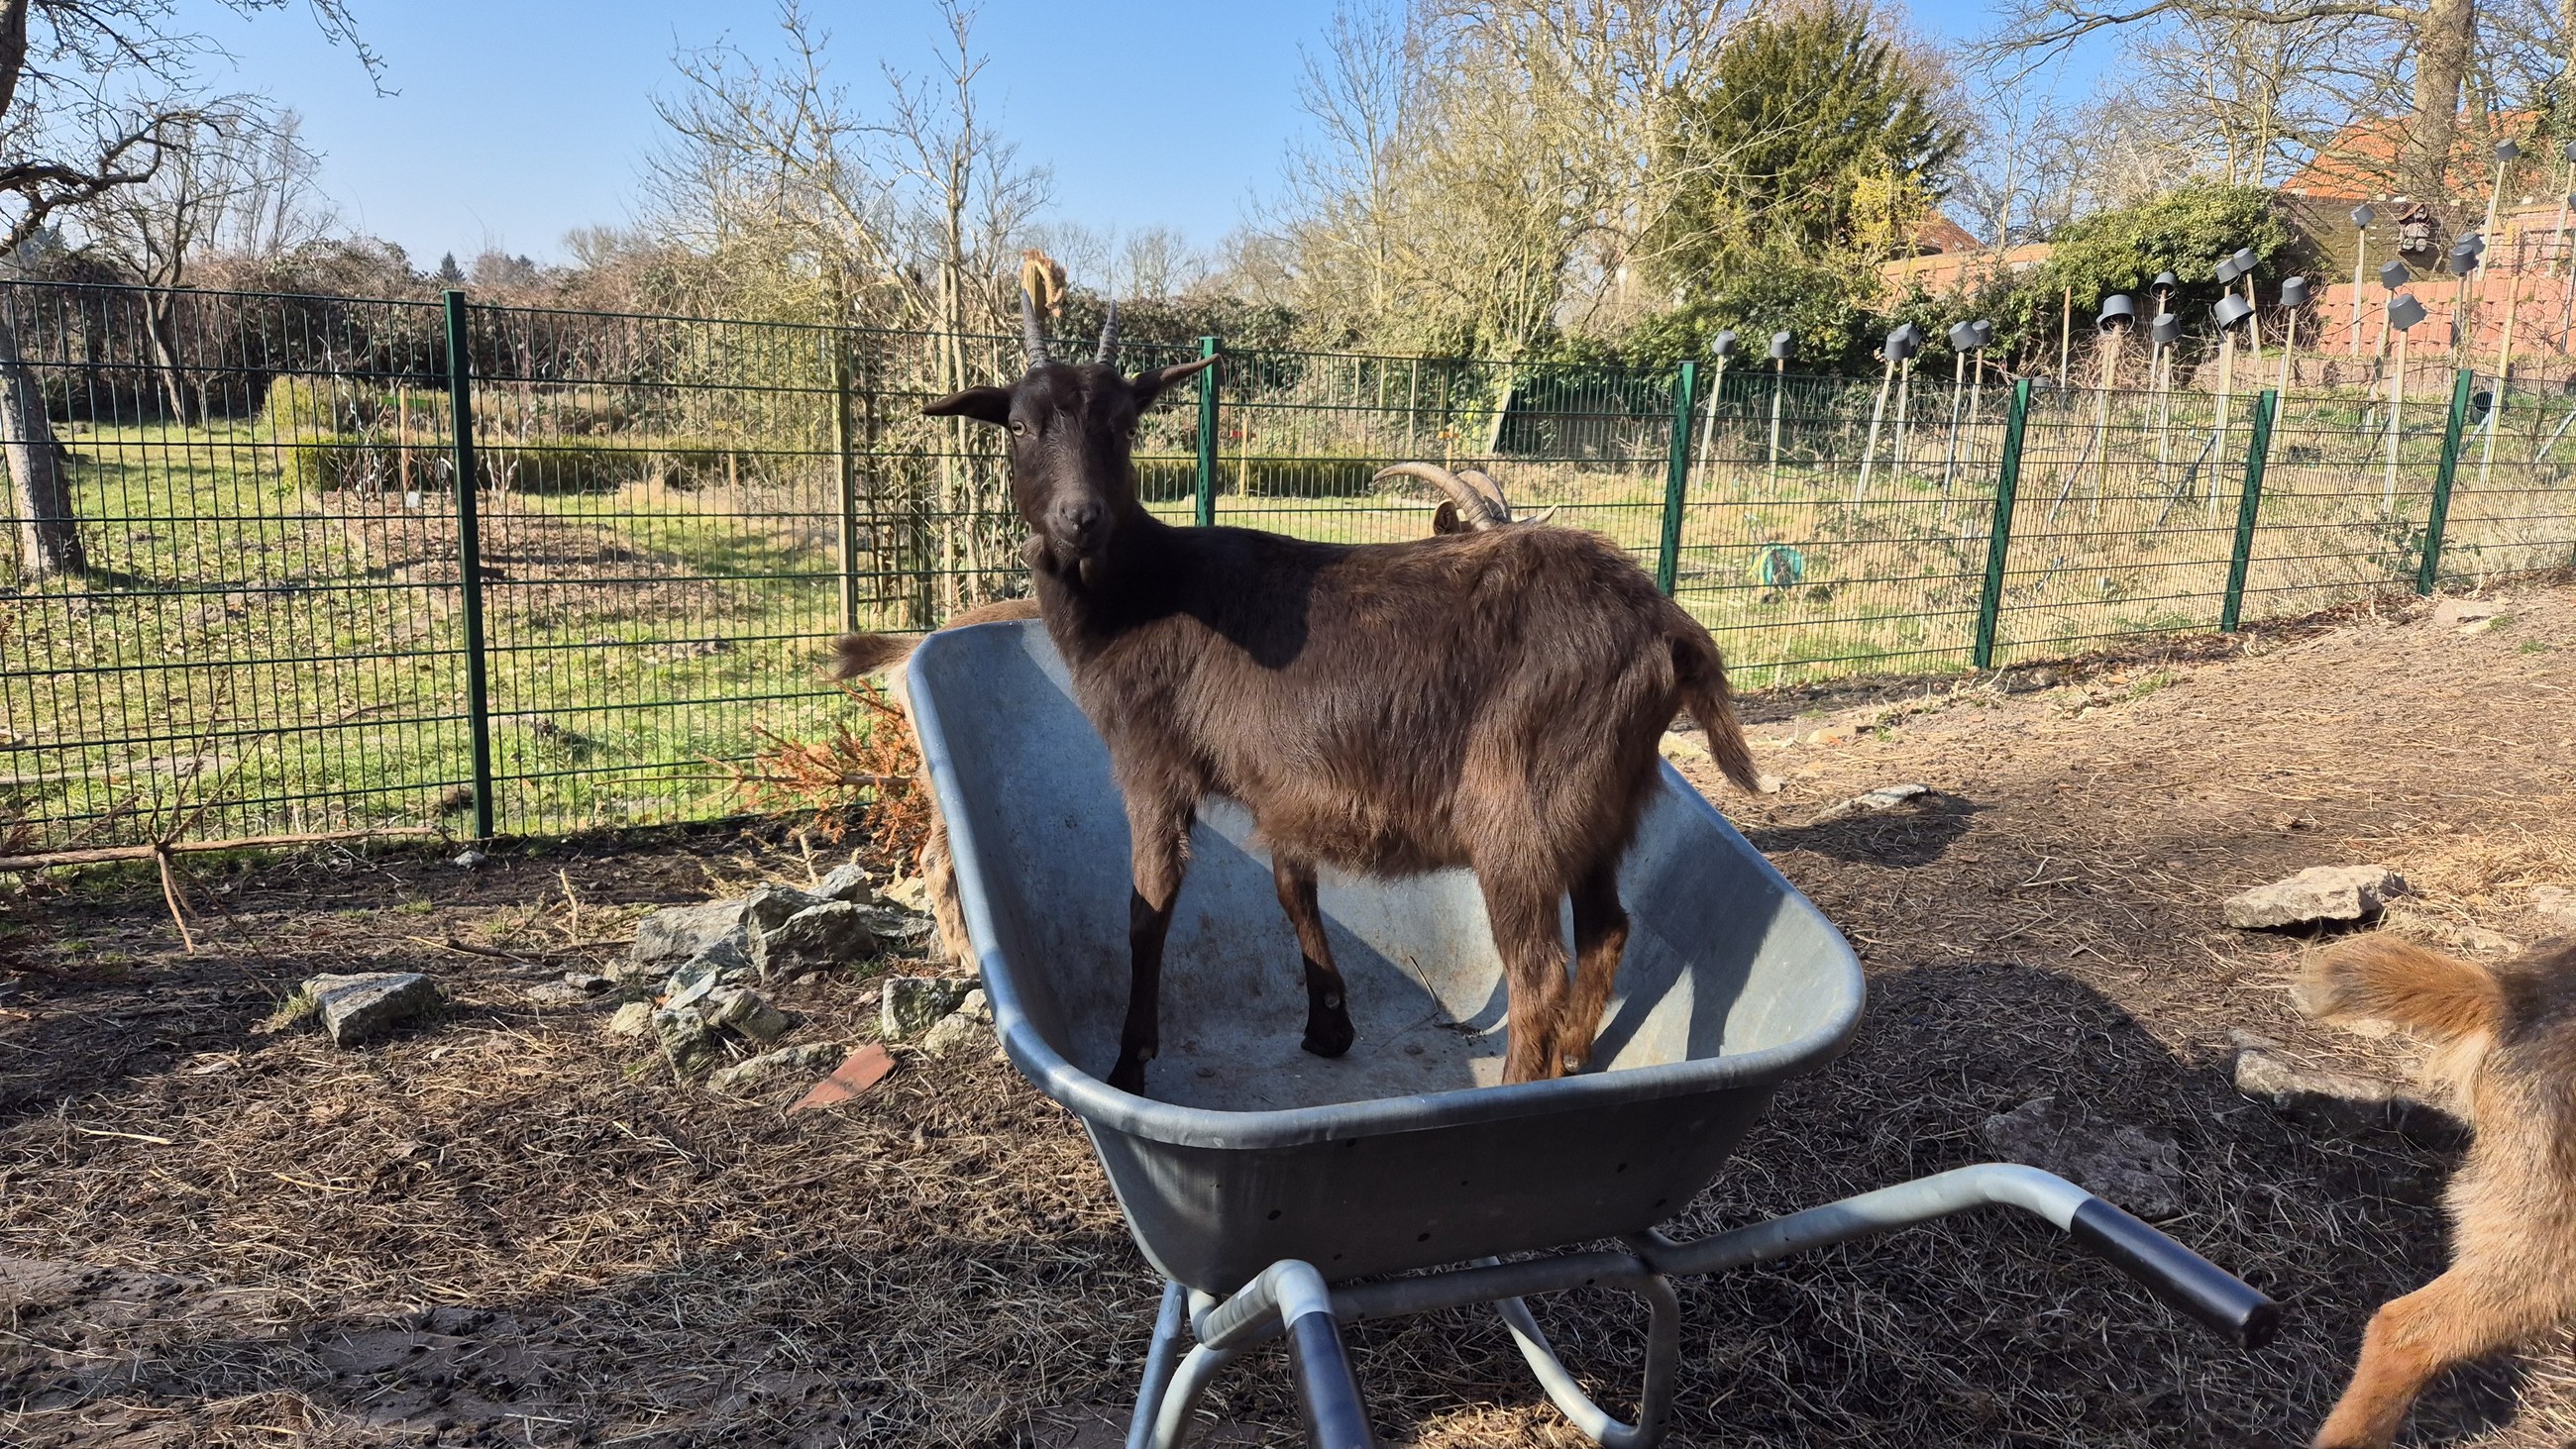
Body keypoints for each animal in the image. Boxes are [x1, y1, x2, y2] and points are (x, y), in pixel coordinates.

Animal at [921, 294, 1759, 1090]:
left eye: (1126, 427)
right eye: (1020, 426)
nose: (1080, 518)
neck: (1144, 591)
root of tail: (1668, 623)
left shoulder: (1152, 764)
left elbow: (1147, 908)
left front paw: (1131, 1062)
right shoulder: (1282, 783)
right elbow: (1294, 888)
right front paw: (1329, 1023)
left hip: (1520, 808)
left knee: (1538, 971)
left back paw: (1517, 1089)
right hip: (1601, 805)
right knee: (1608, 927)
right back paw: (1576, 1059)